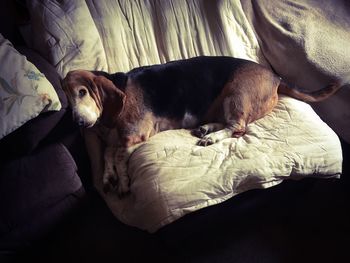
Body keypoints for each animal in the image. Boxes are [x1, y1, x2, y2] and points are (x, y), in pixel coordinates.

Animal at [61, 56, 340, 196]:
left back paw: (211, 137)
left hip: (236, 94)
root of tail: (276, 77)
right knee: (231, 124)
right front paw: (108, 176)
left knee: (238, 127)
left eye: (83, 92)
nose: (77, 122)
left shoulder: (133, 136)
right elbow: (108, 155)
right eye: (66, 96)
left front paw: (123, 182)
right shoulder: (113, 139)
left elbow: (118, 157)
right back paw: (206, 129)